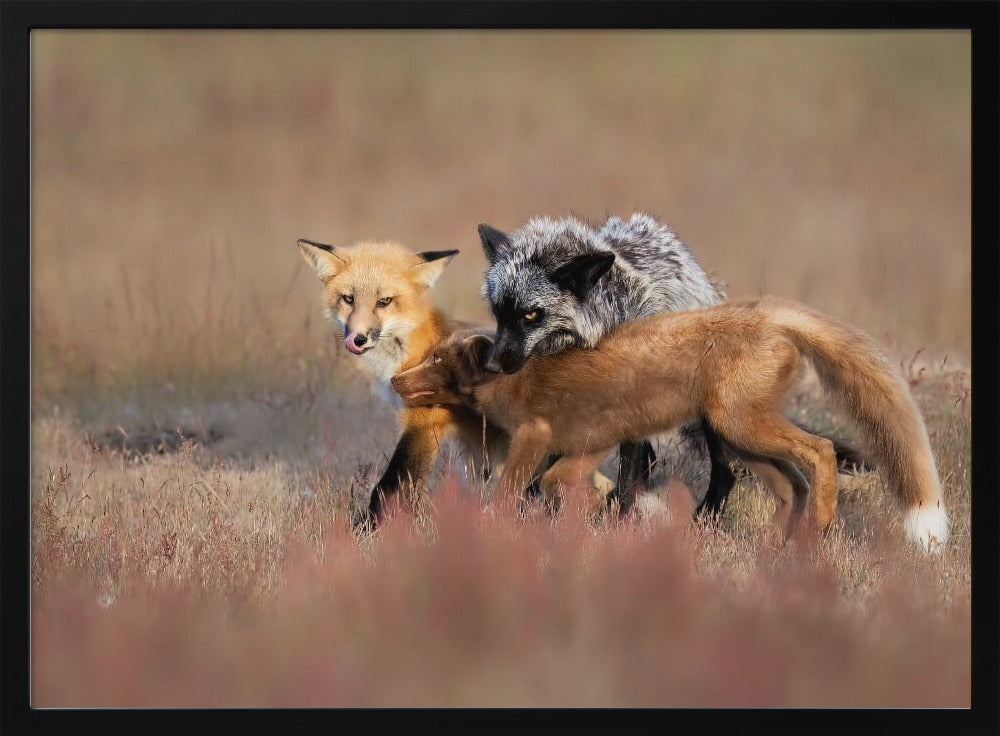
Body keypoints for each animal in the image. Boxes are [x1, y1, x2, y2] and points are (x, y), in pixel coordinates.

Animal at [390, 296, 948, 552]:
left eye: (436, 360)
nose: (395, 380)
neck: (511, 379)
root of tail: (768, 312)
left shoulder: (538, 435)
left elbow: (514, 489)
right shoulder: (589, 444)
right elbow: (560, 485)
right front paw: (596, 517)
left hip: (742, 426)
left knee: (820, 452)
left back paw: (822, 526)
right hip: (738, 439)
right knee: (793, 484)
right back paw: (775, 548)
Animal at [477, 213, 866, 515]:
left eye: (530, 314)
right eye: (499, 312)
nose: (491, 366)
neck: (607, 323)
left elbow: (628, 477)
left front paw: (615, 523)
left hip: (717, 416)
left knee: (724, 471)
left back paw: (704, 519)